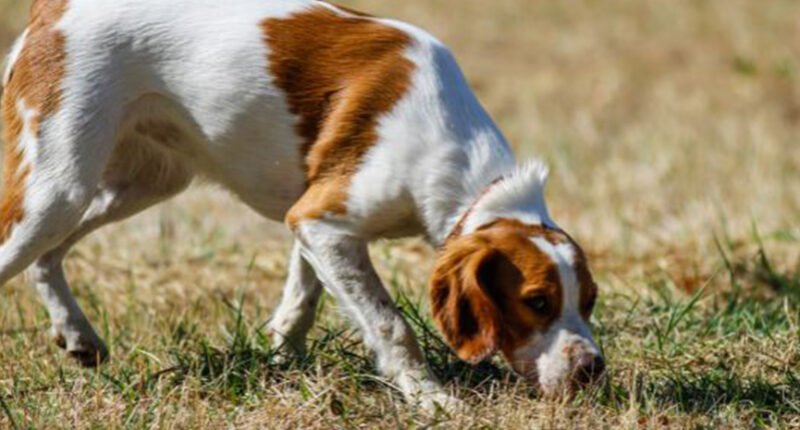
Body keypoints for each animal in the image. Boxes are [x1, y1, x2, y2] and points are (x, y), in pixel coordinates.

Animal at [0, 0, 600, 410]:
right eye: (537, 302)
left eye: (589, 301)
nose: (592, 369)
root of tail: (55, 7)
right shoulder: (324, 222)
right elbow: (389, 323)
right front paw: (428, 396)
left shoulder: (313, 219)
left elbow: (303, 297)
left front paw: (282, 358)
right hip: (57, 187)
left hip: (141, 182)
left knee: (46, 259)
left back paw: (78, 335)